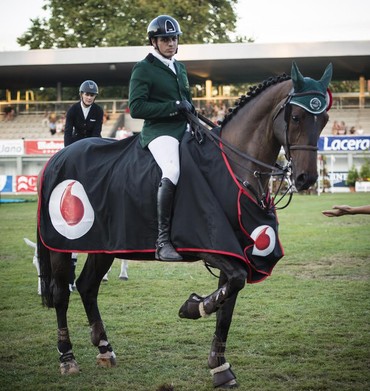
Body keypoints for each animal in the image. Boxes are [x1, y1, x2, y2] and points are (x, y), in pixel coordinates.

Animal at [36, 62, 332, 390]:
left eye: (325, 119)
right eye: (296, 117)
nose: (306, 179)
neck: (230, 164)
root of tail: (58, 157)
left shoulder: (236, 250)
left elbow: (228, 304)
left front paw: (220, 367)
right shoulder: (208, 244)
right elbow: (234, 283)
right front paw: (193, 307)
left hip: (104, 246)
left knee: (88, 287)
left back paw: (104, 349)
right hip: (62, 245)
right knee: (62, 295)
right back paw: (67, 358)